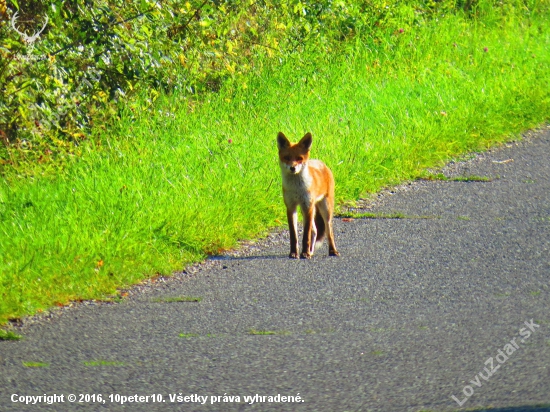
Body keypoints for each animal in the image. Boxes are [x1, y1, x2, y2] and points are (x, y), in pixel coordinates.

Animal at [276, 132, 340, 260]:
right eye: (287, 158)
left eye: (299, 158)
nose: (292, 168)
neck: (296, 188)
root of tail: (321, 163)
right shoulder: (291, 207)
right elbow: (294, 235)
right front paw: (294, 253)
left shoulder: (307, 206)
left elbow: (306, 235)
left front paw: (304, 253)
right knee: (314, 231)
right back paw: (311, 251)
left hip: (325, 208)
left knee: (328, 231)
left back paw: (332, 251)